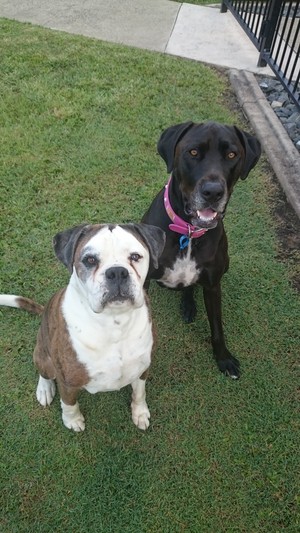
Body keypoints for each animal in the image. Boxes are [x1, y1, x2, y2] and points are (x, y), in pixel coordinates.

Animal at [0, 222, 165, 430]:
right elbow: (68, 403)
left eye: (135, 257)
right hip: (44, 357)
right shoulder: (67, 381)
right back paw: (44, 389)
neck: (114, 322)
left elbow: (139, 392)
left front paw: (140, 412)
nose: (117, 272)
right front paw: (72, 420)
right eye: (90, 260)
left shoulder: (142, 368)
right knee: (44, 373)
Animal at [142, 120, 262, 378]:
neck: (188, 232)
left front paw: (223, 358)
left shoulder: (213, 285)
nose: (213, 192)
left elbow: (217, 326)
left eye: (231, 154)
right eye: (194, 152)